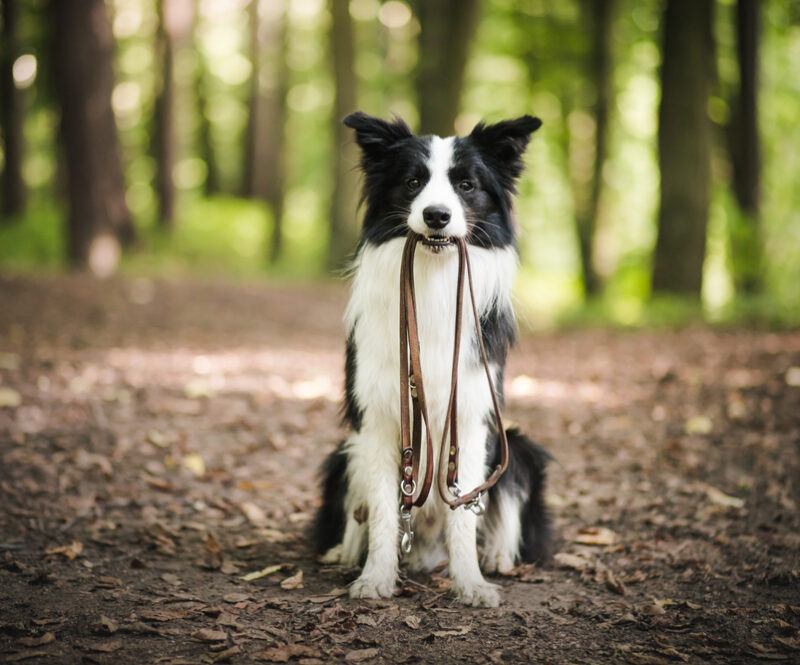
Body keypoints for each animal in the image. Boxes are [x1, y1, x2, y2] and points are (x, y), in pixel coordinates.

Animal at [310, 111, 552, 604]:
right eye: (413, 181)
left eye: (466, 184)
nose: (436, 215)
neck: (432, 278)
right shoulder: (380, 418)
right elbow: (385, 511)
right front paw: (375, 577)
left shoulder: (473, 415)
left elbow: (463, 512)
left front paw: (471, 583)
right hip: (344, 453)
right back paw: (345, 552)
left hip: (516, 446)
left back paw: (498, 558)